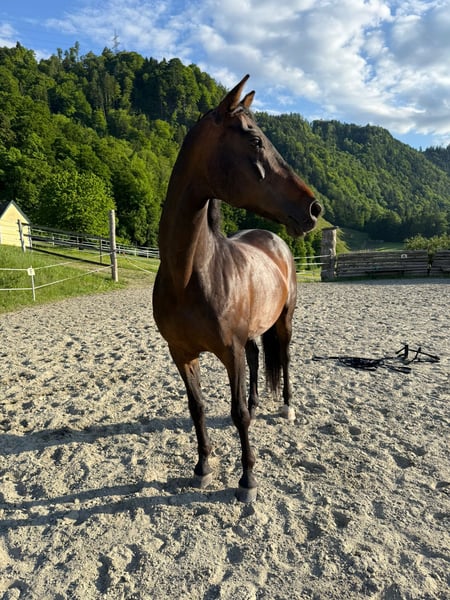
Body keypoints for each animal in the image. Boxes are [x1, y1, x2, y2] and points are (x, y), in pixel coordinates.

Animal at [153, 75, 321, 502]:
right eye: (255, 140)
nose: (314, 209)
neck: (190, 276)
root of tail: (274, 240)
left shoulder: (229, 351)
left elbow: (237, 413)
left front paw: (248, 479)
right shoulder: (181, 353)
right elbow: (197, 408)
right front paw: (203, 466)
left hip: (285, 322)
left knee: (285, 358)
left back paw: (286, 407)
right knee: (258, 356)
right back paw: (260, 402)